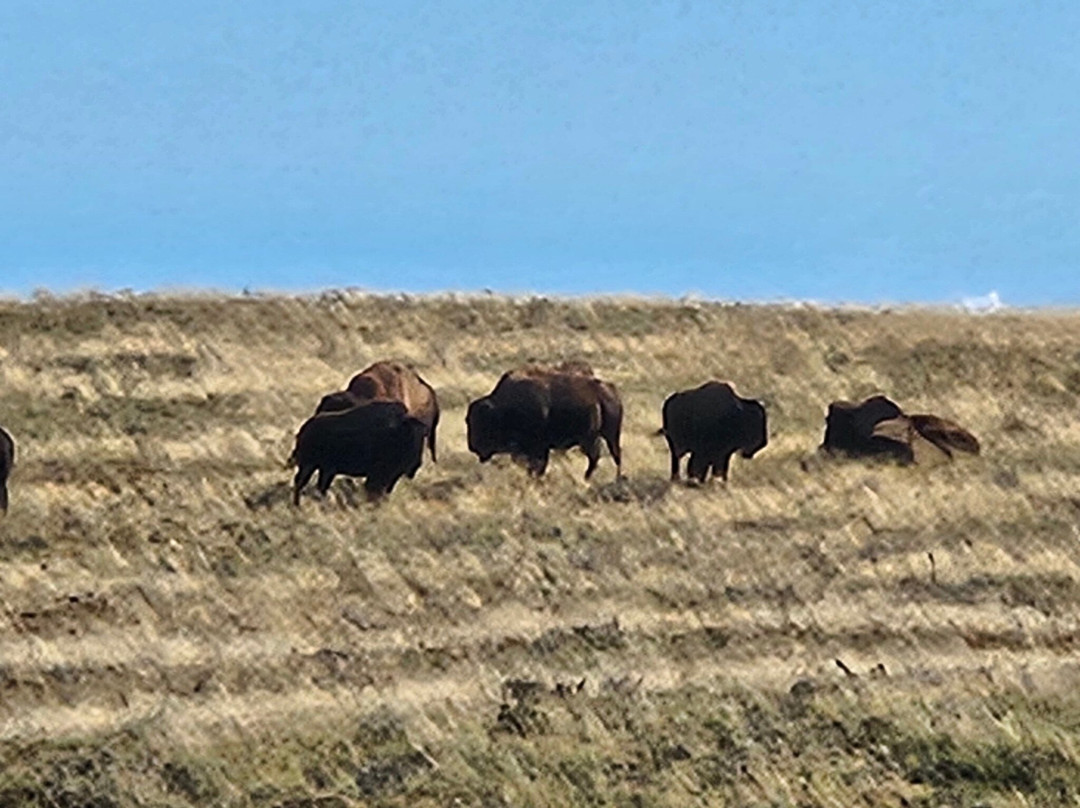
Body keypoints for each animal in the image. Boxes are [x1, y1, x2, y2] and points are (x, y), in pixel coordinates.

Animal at [291, 399, 425, 505]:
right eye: (412, 436)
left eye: (422, 437)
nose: (416, 465)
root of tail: (305, 428)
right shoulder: (378, 476)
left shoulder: (391, 477)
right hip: (309, 466)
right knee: (301, 482)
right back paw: (298, 505)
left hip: (324, 469)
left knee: (319, 486)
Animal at [464, 365, 626, 479]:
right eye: (468, 421)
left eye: (485, 423)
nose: (473, 446)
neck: (504, 408)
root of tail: (610, 390)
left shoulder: (539, 447)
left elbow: (538, 466)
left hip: (603, 436)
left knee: (609, 456)